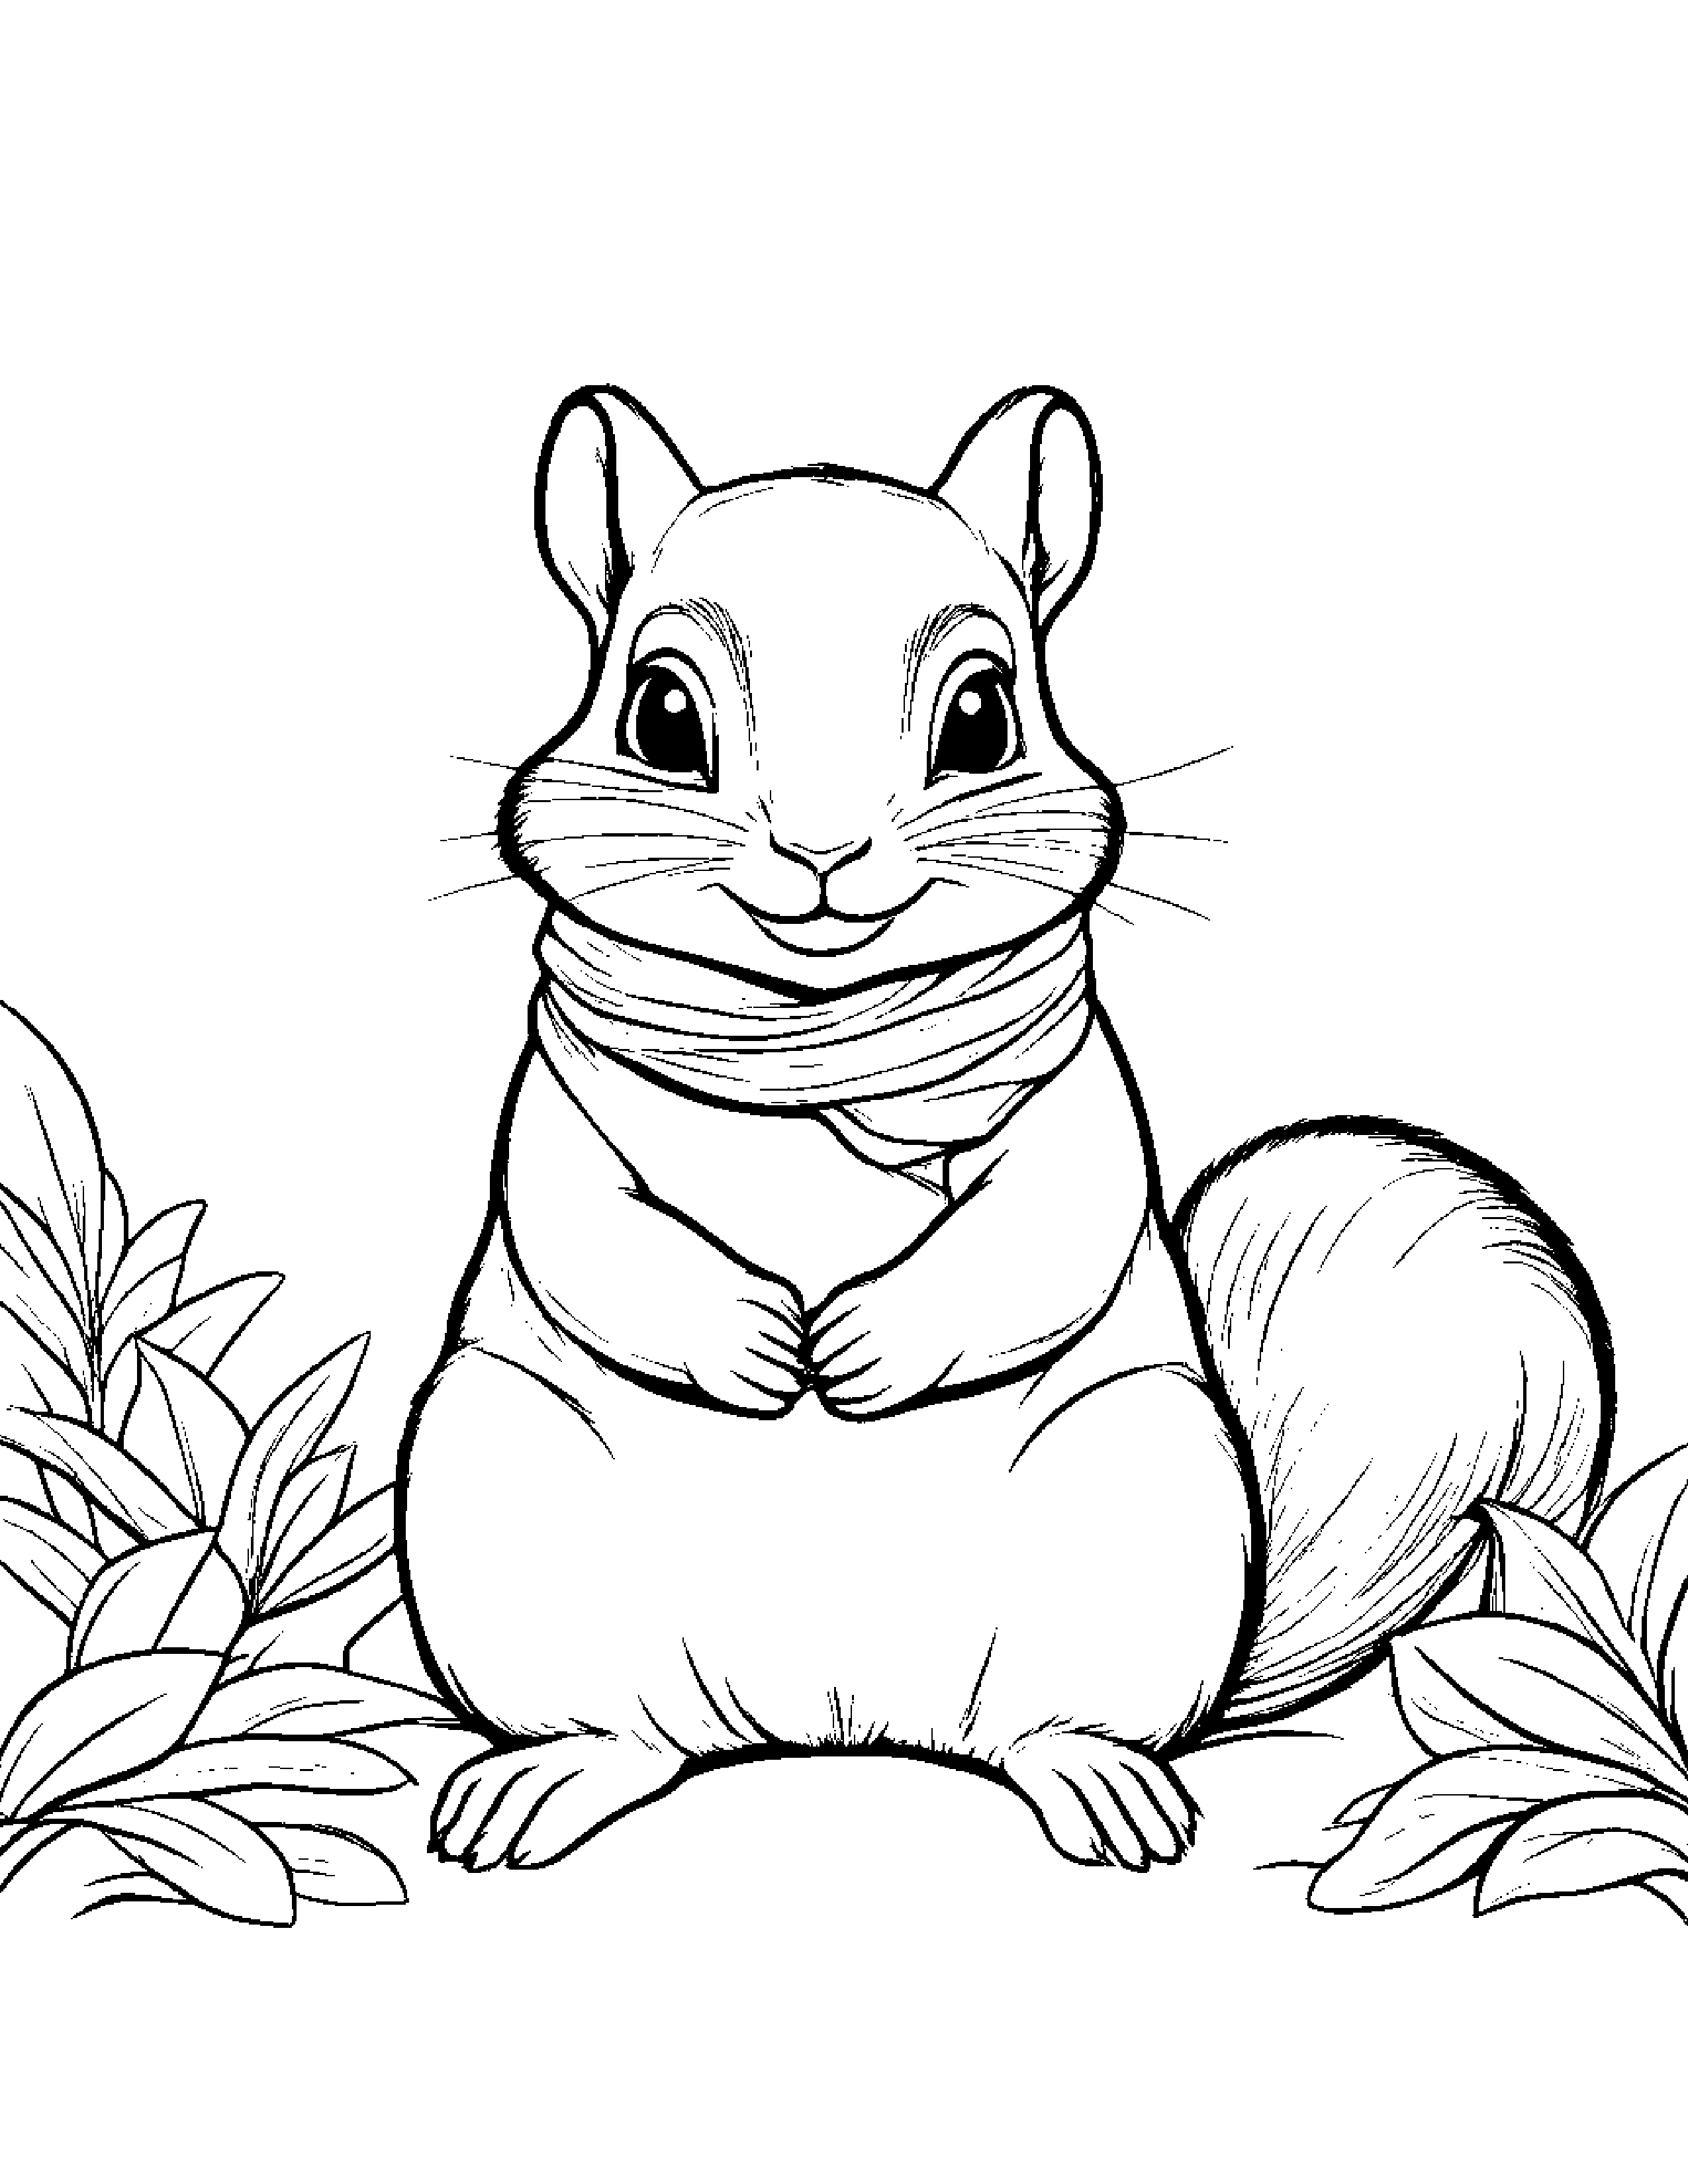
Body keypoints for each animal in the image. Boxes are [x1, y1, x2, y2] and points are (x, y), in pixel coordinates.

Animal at [397, 386, 1614, 1873]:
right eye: (661, 714)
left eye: (983, 715)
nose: (822, 853)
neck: (816, 1026)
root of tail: (831, 1723)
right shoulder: (554, 1105)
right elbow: (580, 1222)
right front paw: (758, 1349)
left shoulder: (1085, 1106)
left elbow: (1046, 1229)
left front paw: (855, 1351)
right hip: (500, 1515)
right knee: (627, 1731)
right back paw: (549, 1778)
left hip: (1139, 1516)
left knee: (1054, 1726)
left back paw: (1099, 1782)